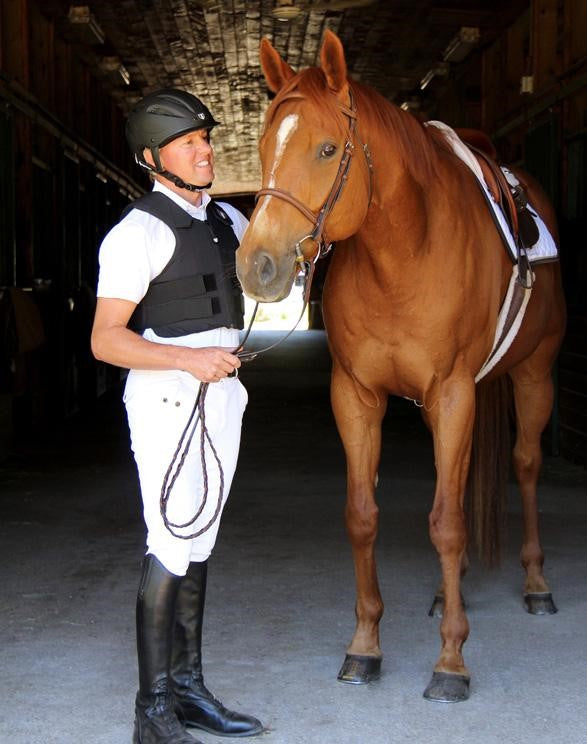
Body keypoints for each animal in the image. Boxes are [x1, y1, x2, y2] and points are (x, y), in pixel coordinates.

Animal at [235, 30, 566, 702]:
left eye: (327, 149)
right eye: (264, 146)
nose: (257, 264)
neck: (405, 253)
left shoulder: (453, 393)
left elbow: (447, 525)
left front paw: (451, 663)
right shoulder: (357, 395)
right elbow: (366, 517)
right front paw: (365, 647)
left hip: (533, 374)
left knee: (523, 465)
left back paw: (536, 584)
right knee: (458, 487)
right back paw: (446, 592)